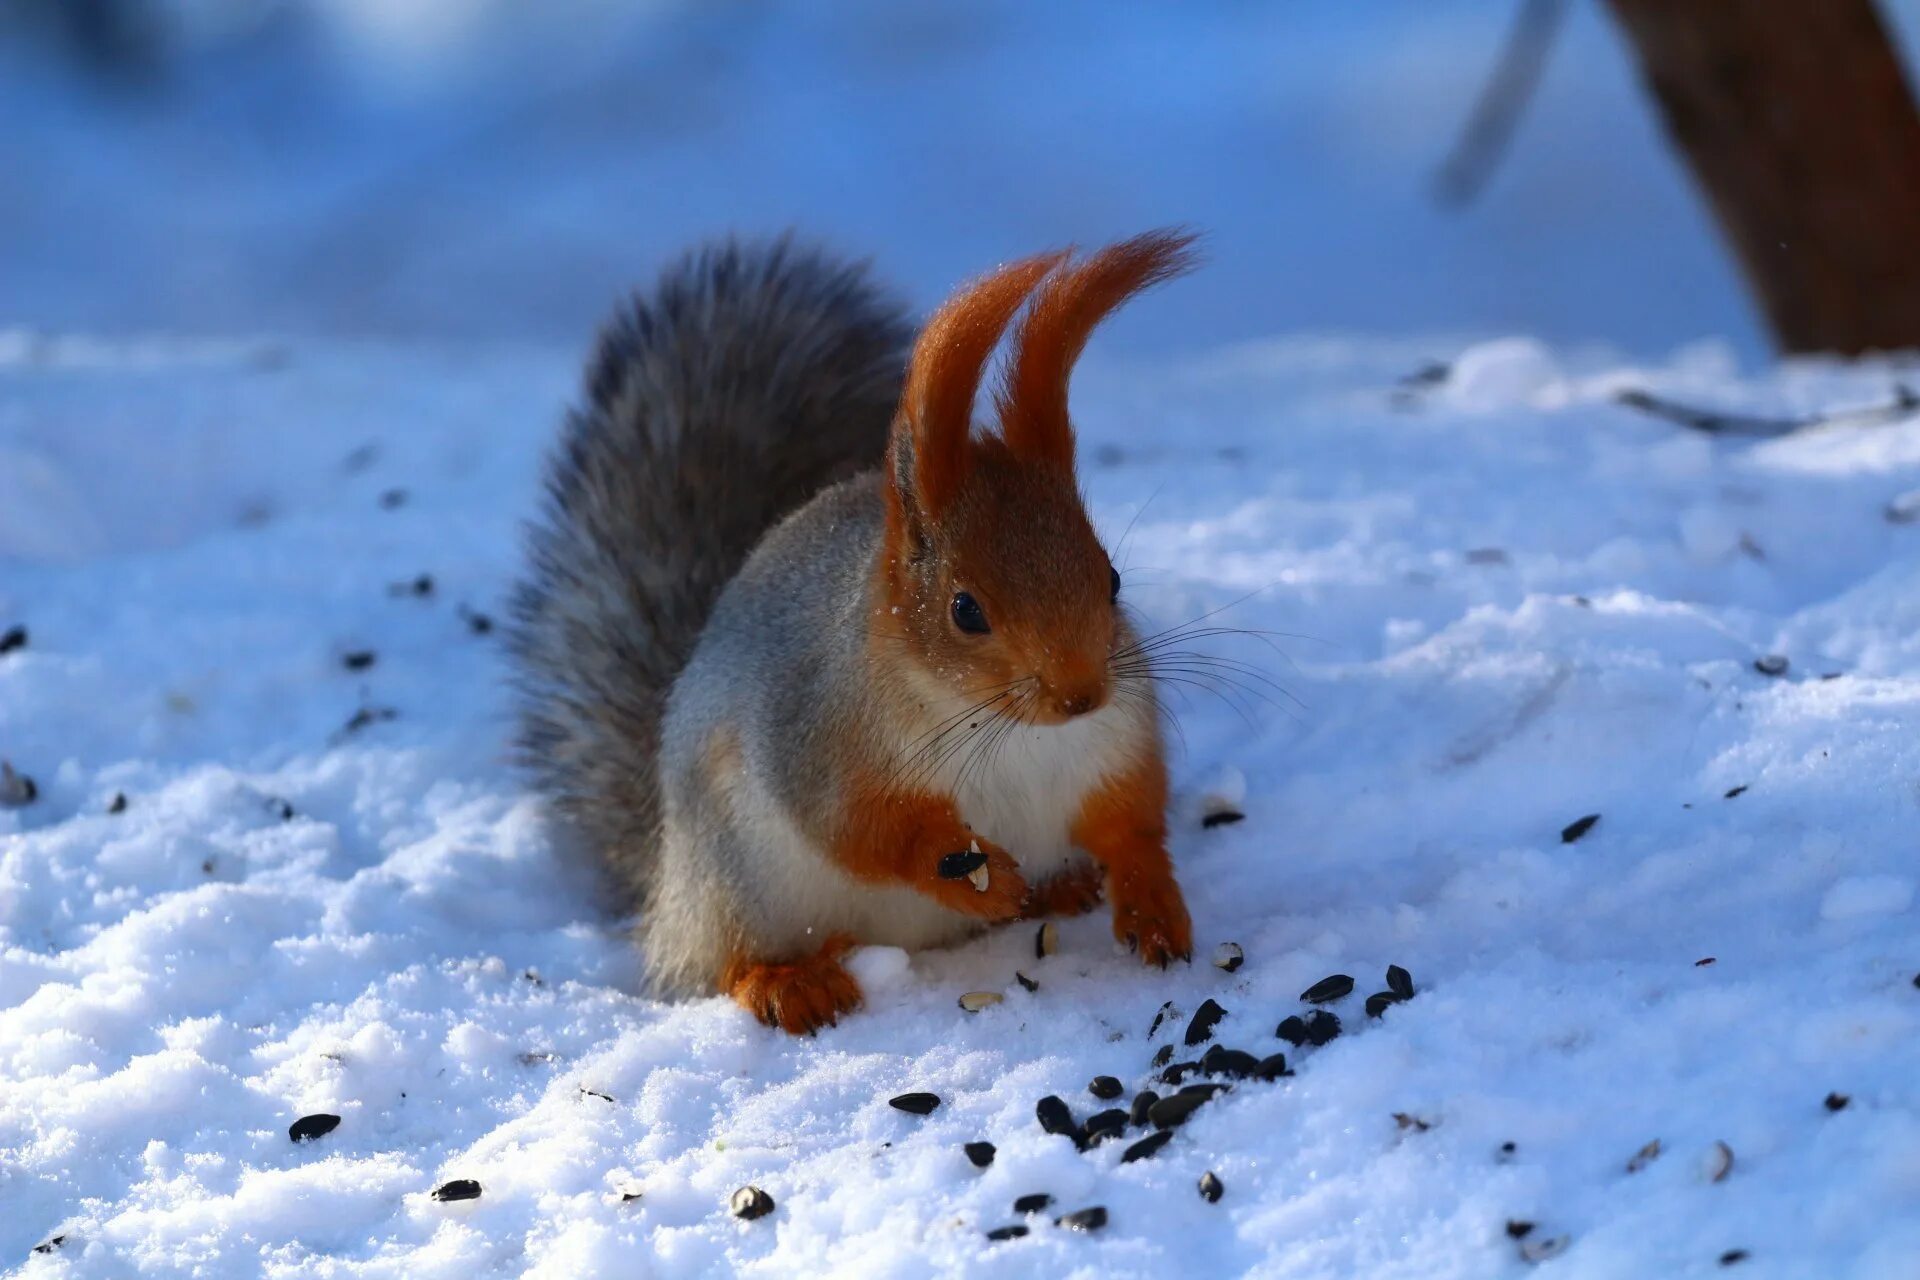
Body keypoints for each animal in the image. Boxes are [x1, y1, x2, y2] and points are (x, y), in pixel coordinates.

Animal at [514, 227, 1198, 1028]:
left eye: (1112, 577)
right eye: (966, 609)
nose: (1080, 695)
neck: (1003, 728)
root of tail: (665, 886)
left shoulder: (1115, 742)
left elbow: (1131, 822)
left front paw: (1151, 901)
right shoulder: (820, 736)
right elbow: (856, 827)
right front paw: (970, 872)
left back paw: (1062, 888)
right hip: (734, 880)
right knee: (726, 961)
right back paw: (791, 982)